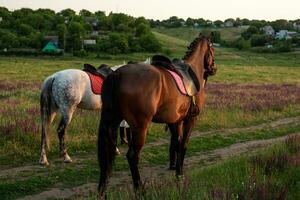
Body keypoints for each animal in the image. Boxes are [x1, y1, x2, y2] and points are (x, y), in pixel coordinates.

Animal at [97, 33, 217, 197]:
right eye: (212, 49)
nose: (213, 68)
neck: (193, 71)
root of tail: (117, 74)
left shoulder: (176, 121)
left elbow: (176, 144)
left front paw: (176, 171)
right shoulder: (190, 119)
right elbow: (183, 145)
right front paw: (180, 174)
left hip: (112, 121)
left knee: (107, 156)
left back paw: (103, 190)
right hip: (140, 127)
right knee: (132, 155)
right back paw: (140, 189)